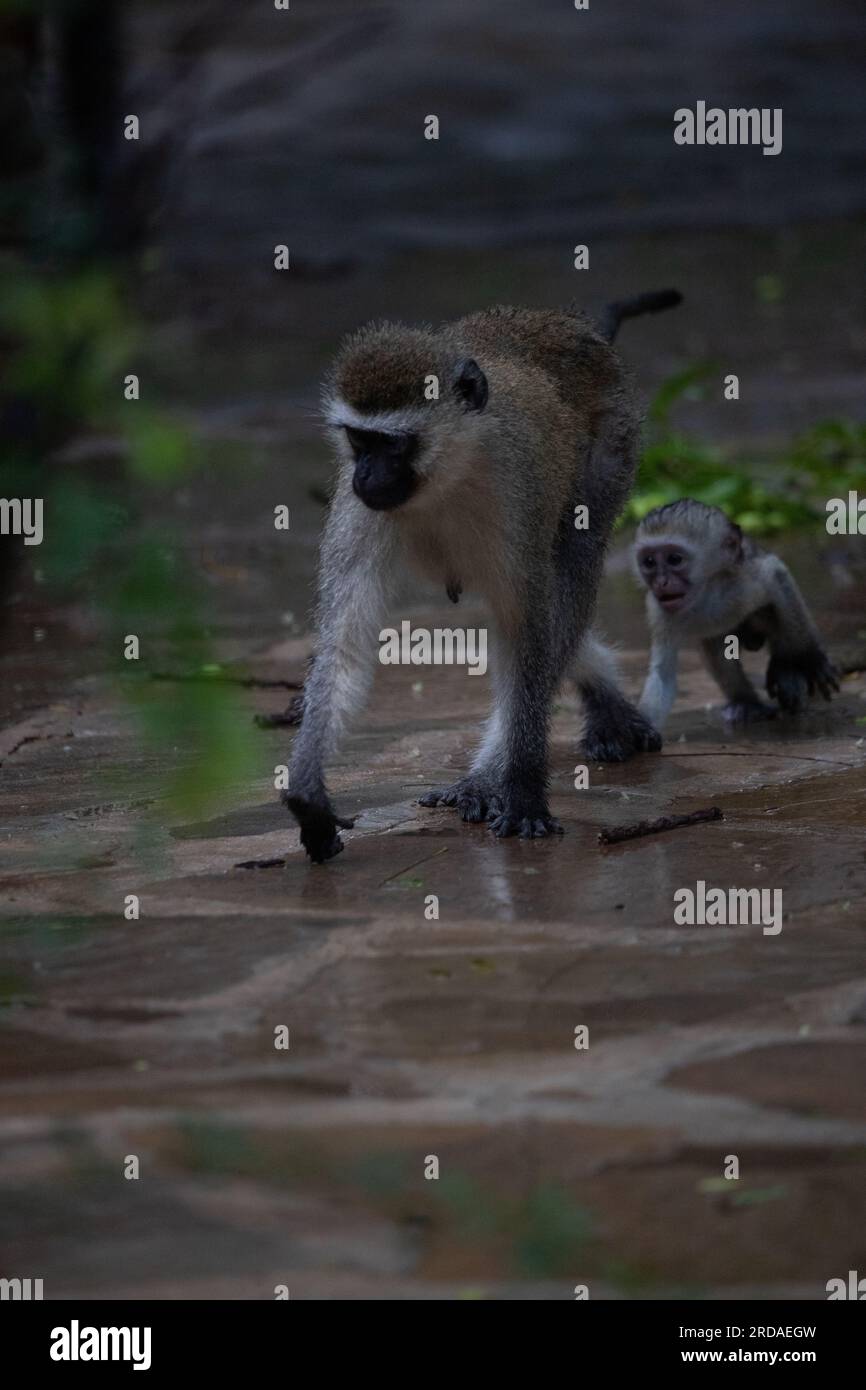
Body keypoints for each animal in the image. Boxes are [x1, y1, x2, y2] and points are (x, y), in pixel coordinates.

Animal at [286, 290, 683, 856]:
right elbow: (345, 640)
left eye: (394, 445)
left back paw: (494, 772)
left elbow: (531, 632)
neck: (449, 470)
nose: (366, 475)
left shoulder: (520, 491)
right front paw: (307, 793)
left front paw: (521, 789)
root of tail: (562, 322)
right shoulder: (355, 510)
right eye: (360, 441)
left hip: (614, 441)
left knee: (568, 582)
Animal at [633, 505, 839, 733]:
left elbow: (776, 574)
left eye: (674, 559)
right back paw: (746, 702)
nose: (661, 582)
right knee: (714, 643)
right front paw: (643, 730)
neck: (703, 593)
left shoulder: (745, 582)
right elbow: (663, 675)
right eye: (649, 562)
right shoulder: (657, 609)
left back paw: (786, 667)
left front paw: (811, 658)